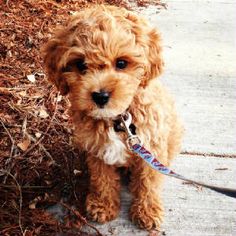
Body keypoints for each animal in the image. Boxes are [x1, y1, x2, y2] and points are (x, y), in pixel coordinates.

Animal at [42, 4, 183, 230]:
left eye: (122, 63)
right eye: (81, 65)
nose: (100, 96)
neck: (118, 119)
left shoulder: (151, 145)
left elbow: (148, 181)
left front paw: (147, 211)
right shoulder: (97, 149)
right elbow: (102, 179)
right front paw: (102, 205)